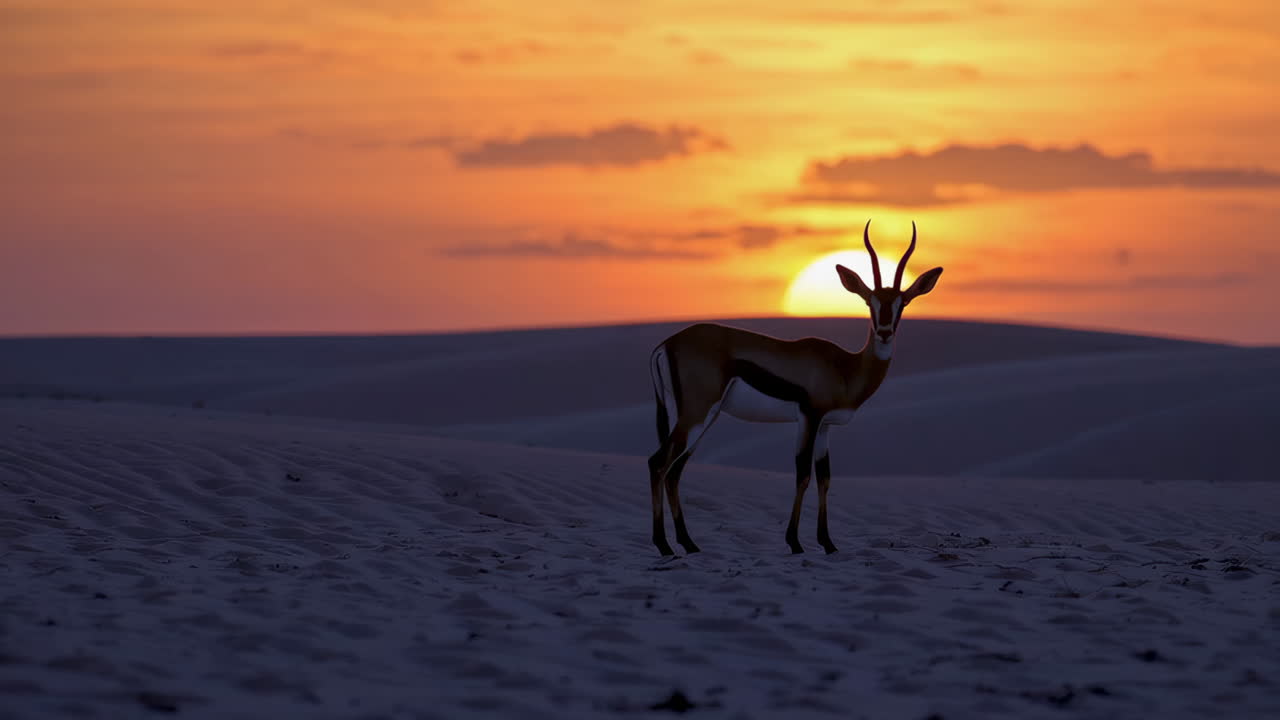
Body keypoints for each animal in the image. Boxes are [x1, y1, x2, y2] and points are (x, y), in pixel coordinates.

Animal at [647, 220, 942, 556]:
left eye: (902, 303)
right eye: (870, 302)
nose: (883, 333)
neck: (846, 367)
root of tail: (667, 344)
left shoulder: (825, 427)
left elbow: (825, 478)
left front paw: (828, 543)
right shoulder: (809, 418)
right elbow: (802, 475)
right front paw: (795, 542)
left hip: (696, 418)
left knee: (674, 471)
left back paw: (688, 543)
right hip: (697, 416)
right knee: (659, 463)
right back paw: (664, 545)